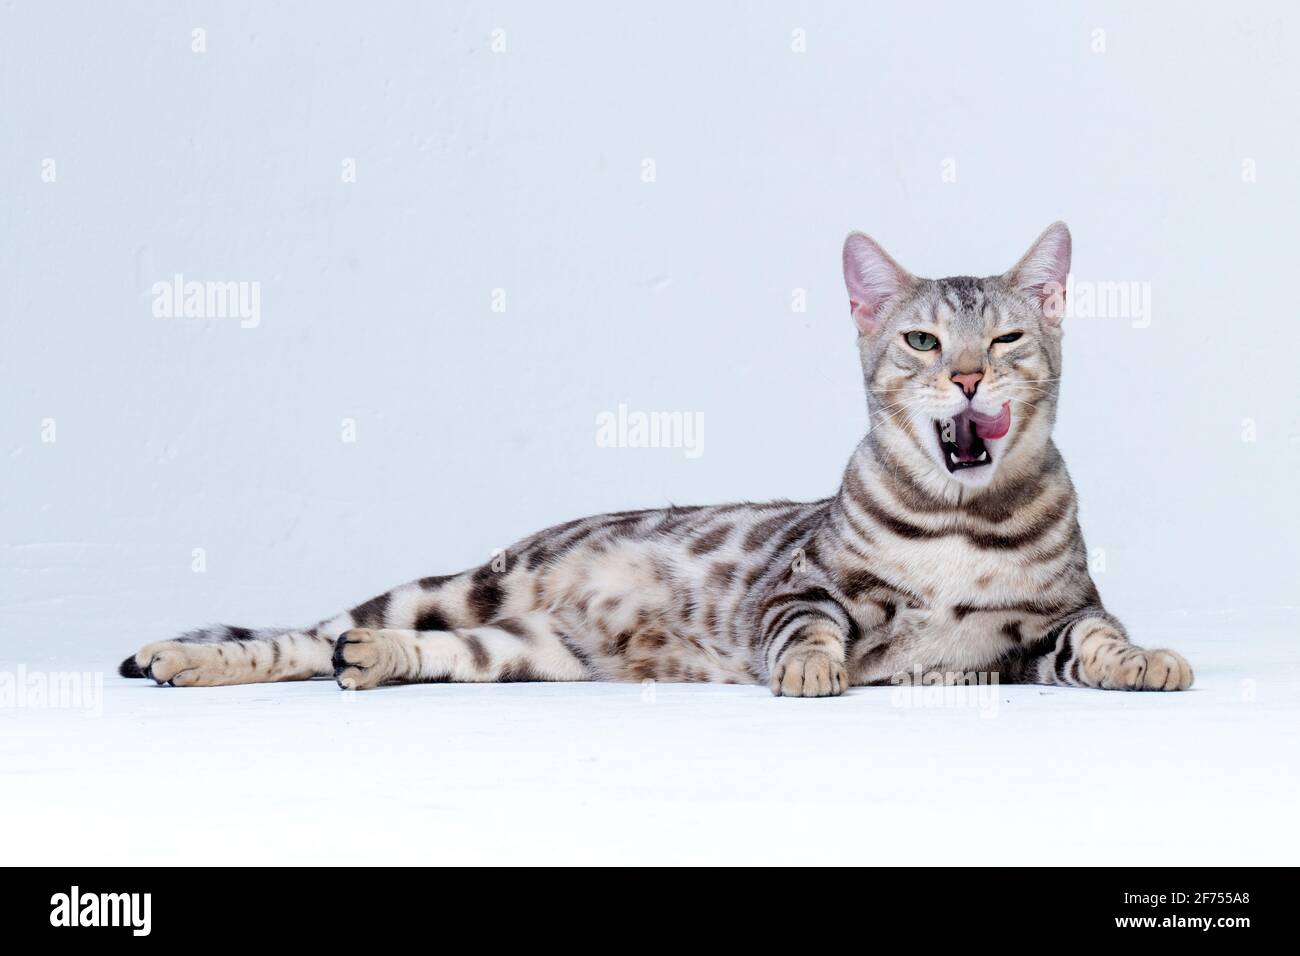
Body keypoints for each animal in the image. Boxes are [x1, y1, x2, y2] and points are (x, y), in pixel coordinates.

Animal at [122, 227, 1196, 697]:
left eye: (1007, 338)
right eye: (923, 343)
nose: (969, 377)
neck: (960, 523)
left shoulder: (1043, 629)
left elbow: (1100, 639)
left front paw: (1146, 659)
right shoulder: (798, 587)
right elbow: (807, 628)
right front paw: (813, 670)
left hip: (529, 652)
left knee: (429, 652)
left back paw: (377, 662)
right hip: (464, 584)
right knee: (307, 632)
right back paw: (189, 656)